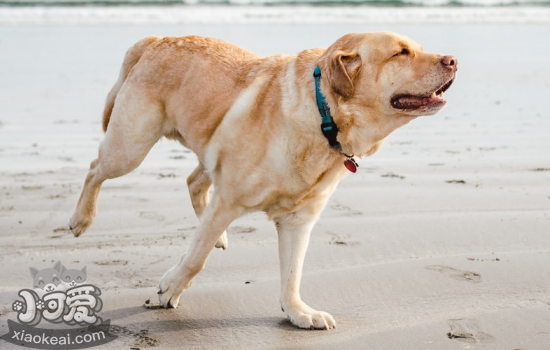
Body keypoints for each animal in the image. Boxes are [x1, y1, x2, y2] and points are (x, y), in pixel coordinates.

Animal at [69, 31, 458, 330]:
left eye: (418, 48)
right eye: (400, 53)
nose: (453, 60)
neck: (323, 116)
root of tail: (155, 40)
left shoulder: (299, 220)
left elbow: (292, 274)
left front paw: (298, 312)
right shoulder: (229, 200)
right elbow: (196, 259)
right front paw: (171, 288)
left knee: (194, 182)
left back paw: (218, 236)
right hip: (130, 147)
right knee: (95, 168)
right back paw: (81, 219)